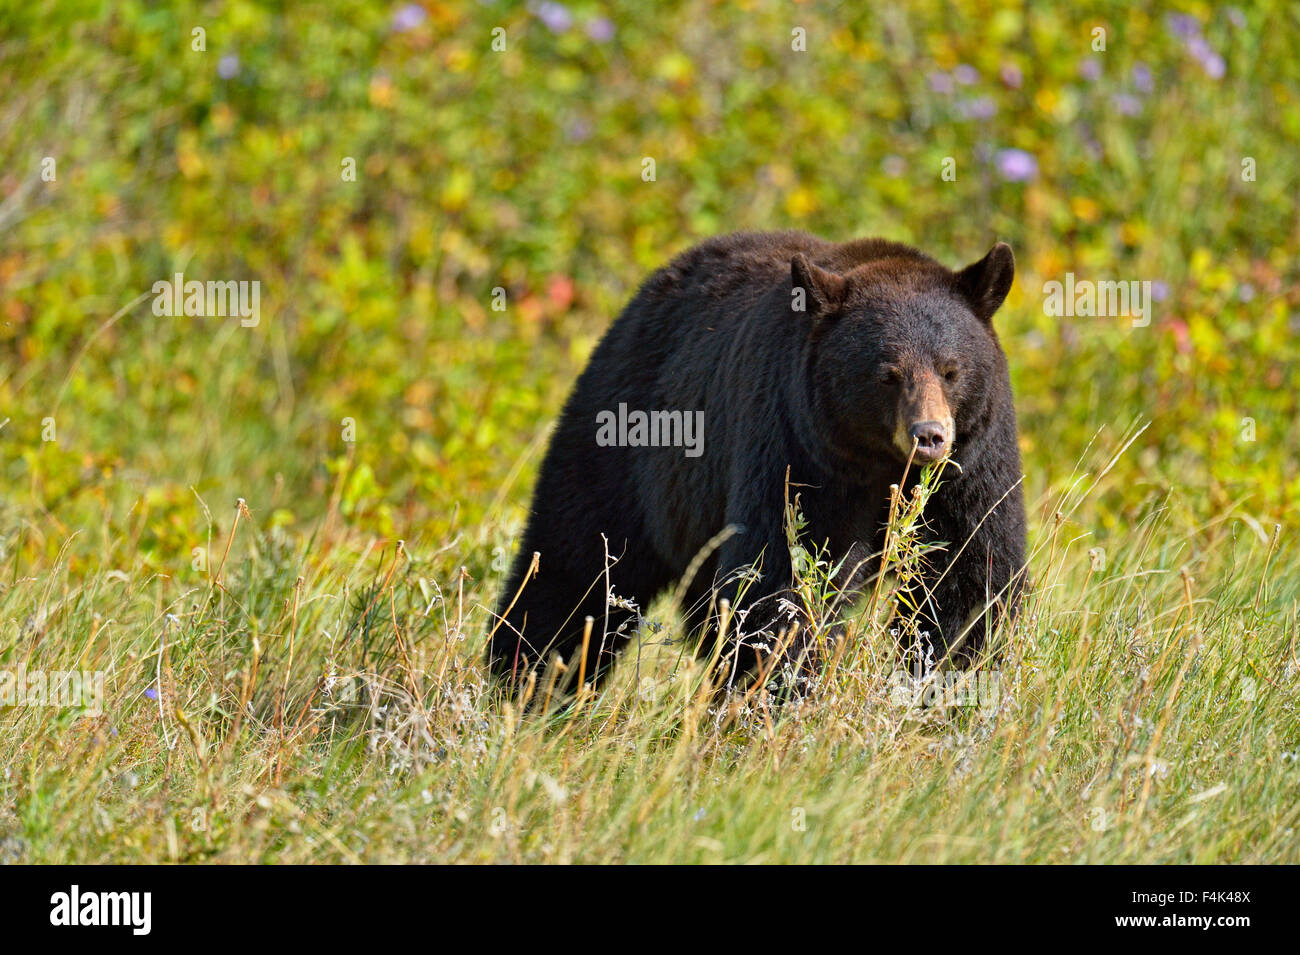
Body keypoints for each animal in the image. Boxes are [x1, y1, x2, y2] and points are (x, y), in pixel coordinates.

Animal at [488, 231, 1024, 696]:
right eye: (887, 374)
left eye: (951, 370)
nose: (928, 436)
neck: (879, 466)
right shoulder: (796, 448)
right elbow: (784, 575)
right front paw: (776, 687)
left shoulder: (973, 464)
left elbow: (971, 570)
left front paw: (945, 673)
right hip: (625, 439)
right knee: (577, 564)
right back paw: (527, 682)